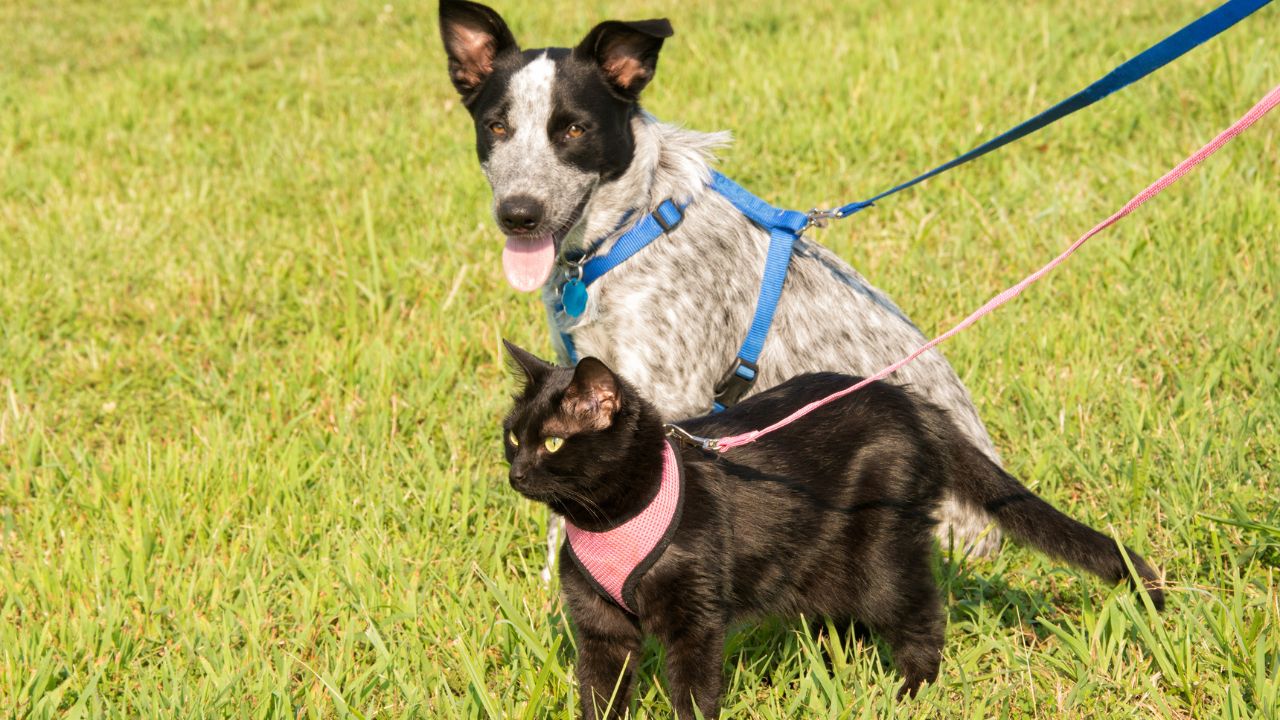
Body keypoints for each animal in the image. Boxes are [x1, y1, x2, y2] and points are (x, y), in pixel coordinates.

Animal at [501, 338, 1172, 717]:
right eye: (512, 436)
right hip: (826, 565)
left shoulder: (695, 619)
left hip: (881, 555)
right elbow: (600, 696)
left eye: (553, 442)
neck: (608, 519)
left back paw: (909, 695)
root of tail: (915, 405)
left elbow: (693, 694)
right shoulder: (601, 628)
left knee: (922, 612)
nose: (515, 472)